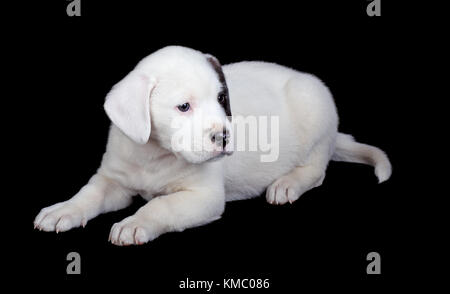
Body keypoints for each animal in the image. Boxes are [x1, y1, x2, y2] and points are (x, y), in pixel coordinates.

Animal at [33, 46, 390, 246]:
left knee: (317, 169)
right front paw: (63, 209)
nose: (225, 137)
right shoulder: (113, 180)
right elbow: (89, 194)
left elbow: (161, 206)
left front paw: (135, 223)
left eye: (221, 99)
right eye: (183, 107)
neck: (156, 154)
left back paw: (287, 184)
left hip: (314, 110)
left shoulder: (202, 197)